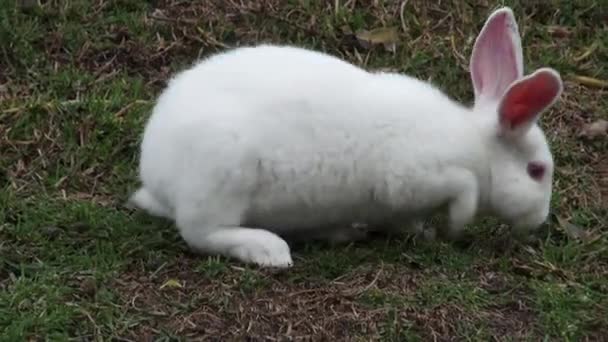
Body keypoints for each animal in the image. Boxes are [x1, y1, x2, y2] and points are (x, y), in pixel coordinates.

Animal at [131, 7, 564, 268]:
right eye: (536, 171)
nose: (539, 220)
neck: (473, 146)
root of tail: (155, 173)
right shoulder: (412, 177)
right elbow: (464, 188)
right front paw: (454, 227)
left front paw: (420, 232)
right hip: (221, 177)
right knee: (201, 233)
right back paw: (269, 250)